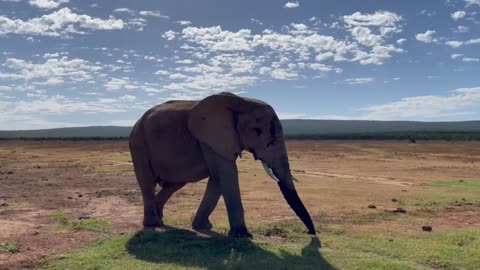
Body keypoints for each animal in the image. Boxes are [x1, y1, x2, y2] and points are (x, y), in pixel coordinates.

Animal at [128, 92, 316, 237]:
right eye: (257, 131)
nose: (310, 233)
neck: (242, 101)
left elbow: (218, 178)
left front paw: (203, 227)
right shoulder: (210, 138)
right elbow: (227, 173)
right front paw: (243, 236)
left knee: (174, 184)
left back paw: (160, 219)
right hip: (138, 143)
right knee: (147, 182)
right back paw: (152, 223)